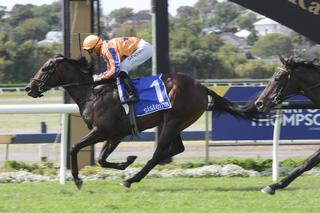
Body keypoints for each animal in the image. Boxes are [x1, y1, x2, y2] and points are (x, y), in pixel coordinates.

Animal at [26, 55, 258, 190]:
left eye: (45, 69)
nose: (29, 88)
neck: (93, 93)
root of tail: (201, 87)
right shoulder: (115, 134)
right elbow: (101, 159)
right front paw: (126, 161)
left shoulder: (102, 131)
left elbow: (74, 147)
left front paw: (77, 179)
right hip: (174, 123)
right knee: (176, 149)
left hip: (173, 122)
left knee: (158, 153)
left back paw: (131, 180)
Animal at [255, 56, 320, 195]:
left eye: (277, 78)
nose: (259, 103)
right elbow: (307, 162)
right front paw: (274, 185)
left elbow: (308, 162)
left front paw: (274, 185)